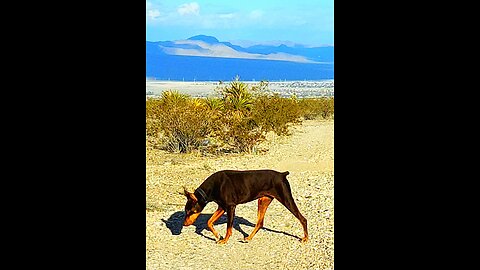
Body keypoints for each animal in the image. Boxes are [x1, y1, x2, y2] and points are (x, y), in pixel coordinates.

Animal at [180, 171, 308, 245]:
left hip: (286, 199)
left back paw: (305, 238)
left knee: (303, 219)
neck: (214, 186)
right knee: (259, 223)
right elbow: (209, 222)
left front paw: (224, 240)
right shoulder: (222, 207)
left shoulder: (230, 206)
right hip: (263, 201)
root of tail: (282, 174)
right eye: (186, 211)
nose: (184, 224)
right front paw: (217, 236)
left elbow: (229, 228)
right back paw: (248, 238)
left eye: (190, 211)